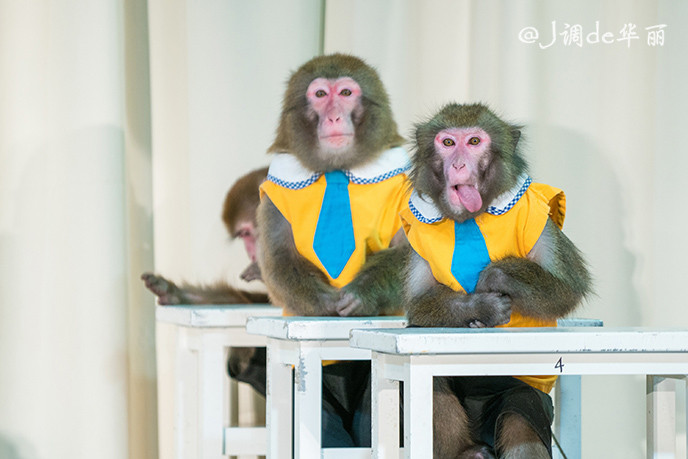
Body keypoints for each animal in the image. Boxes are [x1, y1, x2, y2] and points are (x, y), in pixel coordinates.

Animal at [256, 54, 408, 450]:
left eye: (346, 93)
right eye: (321, 95)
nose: (335, 117)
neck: (338, 171)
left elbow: (414, 254)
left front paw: (360, 294)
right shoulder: (274, 192)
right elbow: (278, 260)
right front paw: (325, 302)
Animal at [404, 102, 592, 458]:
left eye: (475, 141)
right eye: (447, 143)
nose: (458, 164)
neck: (472, 218)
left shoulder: (538, 216)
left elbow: (569, 288)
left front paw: (492, 278)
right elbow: (417, 307)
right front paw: (482, 306)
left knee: (520, 414)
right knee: (435, 384)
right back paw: (467, 452)